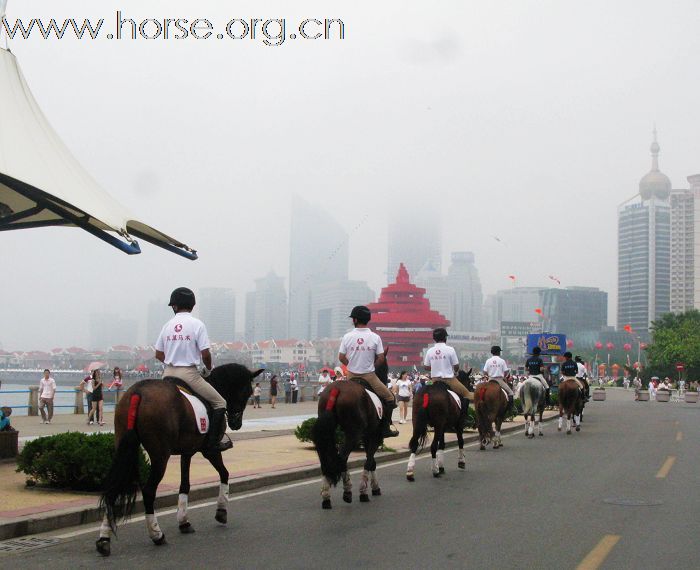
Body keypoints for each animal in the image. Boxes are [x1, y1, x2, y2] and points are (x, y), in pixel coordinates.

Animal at [95, 364, 262, 556]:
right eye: (247, 392)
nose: (236, 423)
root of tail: (138, 392)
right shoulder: (209, 451)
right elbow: (224, 474)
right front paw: (221, 511)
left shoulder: (187, 451)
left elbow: (185, 485)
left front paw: (184, 521)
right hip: (160, 455)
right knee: (148, 491)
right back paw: (157, 534)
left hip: (123, 445)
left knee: (114, 487)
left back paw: (104, 539)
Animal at [310, 356, 392, 506]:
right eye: (386, 366)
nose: (387, 380)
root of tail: (336, 389)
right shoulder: (375, 436)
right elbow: (370, 461)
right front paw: (365, 491)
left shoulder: (367, 436)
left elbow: (372, 462)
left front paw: (374, 488)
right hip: (354, 434)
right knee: (342, 458)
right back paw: (347, 491)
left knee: (328, 459)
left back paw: (326, 495)